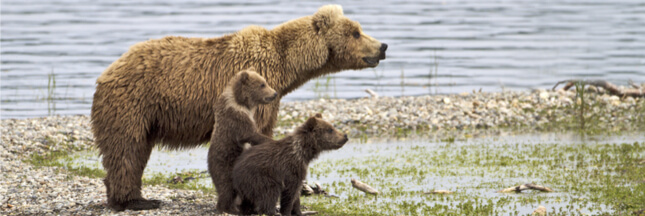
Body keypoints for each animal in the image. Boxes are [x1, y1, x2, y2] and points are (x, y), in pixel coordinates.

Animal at [208, 68, 276, 214]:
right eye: (262, 84)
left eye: (265, 82)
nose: (274, 93)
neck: (241, 101)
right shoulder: (236, 116)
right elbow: (250, 134)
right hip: (225, 165)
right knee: (227, 187)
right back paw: (228, 208)